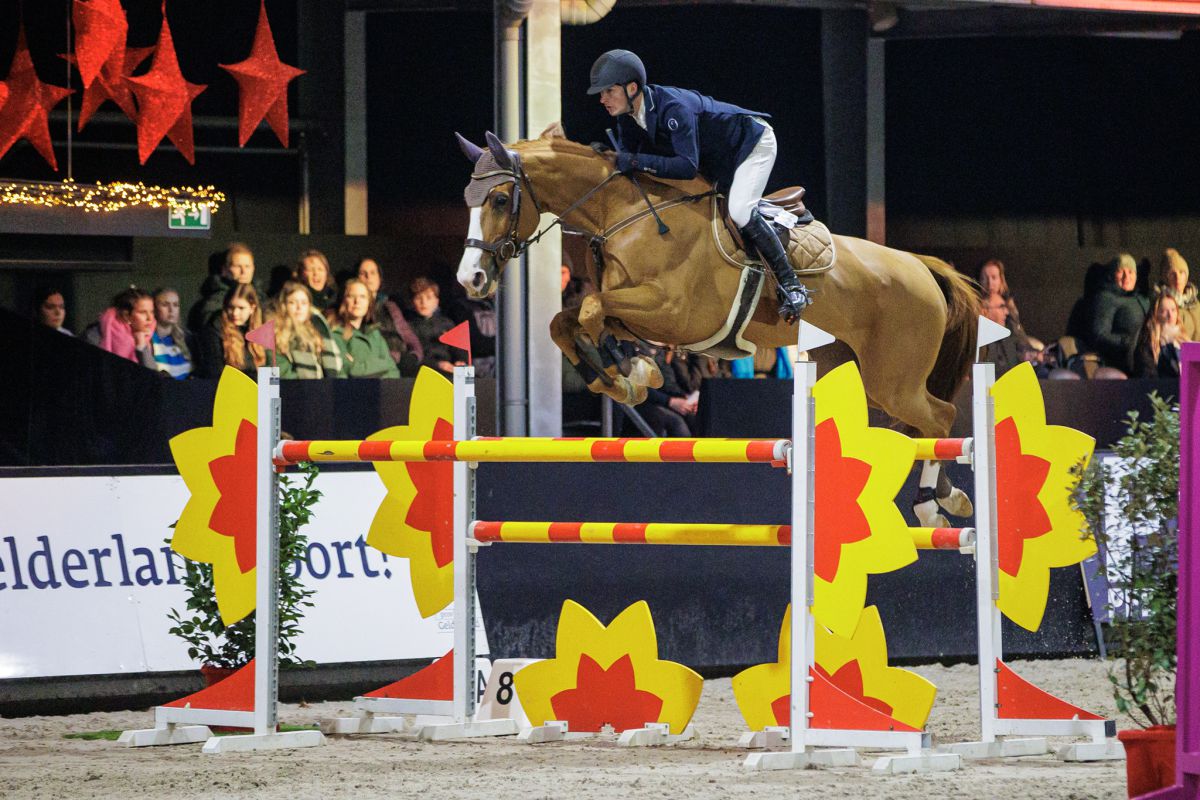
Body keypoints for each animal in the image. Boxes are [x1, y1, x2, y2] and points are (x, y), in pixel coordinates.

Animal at [453, 126, 979, 525]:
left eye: (498, 199)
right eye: (468, 200)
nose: (470, 279)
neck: (625, 214)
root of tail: (921, 266)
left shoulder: (674, 314)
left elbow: (587, 311)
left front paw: (628, 374)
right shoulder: (634, 313)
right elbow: (567, 321)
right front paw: (624, 377)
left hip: (892, 380)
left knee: (941, 418)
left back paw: (935, 504)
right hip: (857, 373)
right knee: (918, 426)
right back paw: (940, 497)